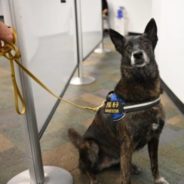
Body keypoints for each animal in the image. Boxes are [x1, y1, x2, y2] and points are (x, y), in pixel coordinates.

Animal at [68, 18, 170, 184]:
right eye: (128, 47)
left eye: (145, 43)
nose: (138, 54)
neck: (144, 89)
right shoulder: (127, 143)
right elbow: (126, 176)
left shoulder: (154, 138)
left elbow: (154, 163)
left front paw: (158, 179)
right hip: (92, 145)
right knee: (86, 168)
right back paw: (93, 178)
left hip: (117, 153)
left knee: (119, 164)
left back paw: (132, 167)